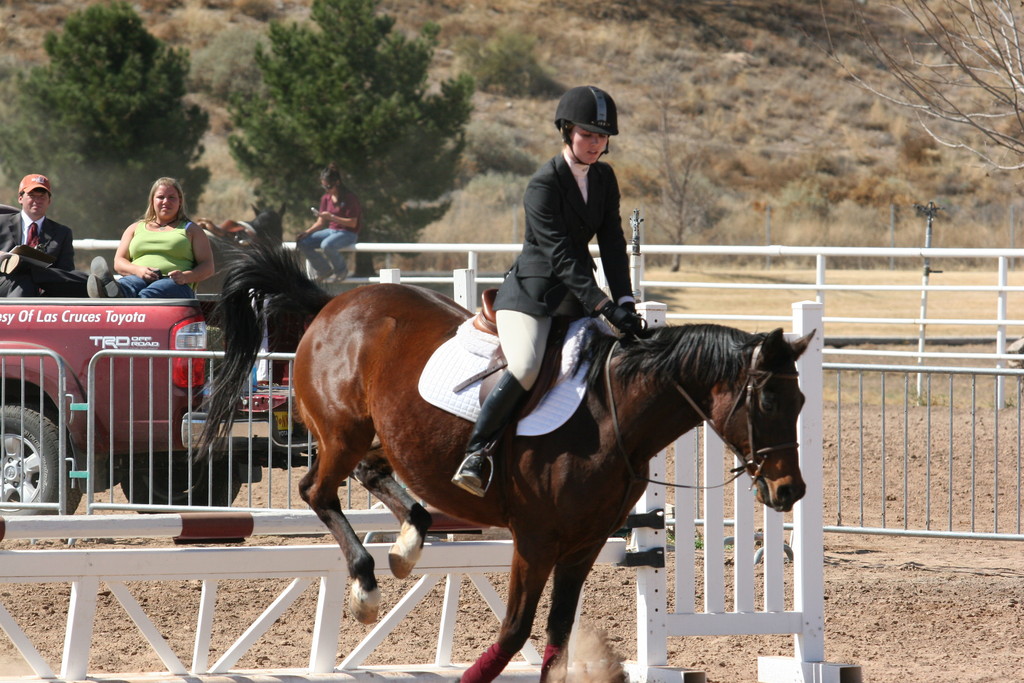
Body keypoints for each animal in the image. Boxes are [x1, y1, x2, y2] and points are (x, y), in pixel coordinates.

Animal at [201, 242, 815, 679]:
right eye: (766, 402)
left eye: (802, 404)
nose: (790, 492)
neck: (617, 414)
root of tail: (332, 302)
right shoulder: (537, 539)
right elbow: (514, 634)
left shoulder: (583, 544)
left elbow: (557, 639)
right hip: (341, 432)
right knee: (317, 491)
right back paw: (367, 586)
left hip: (382, 437)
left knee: (375, 477)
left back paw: (406, 545)